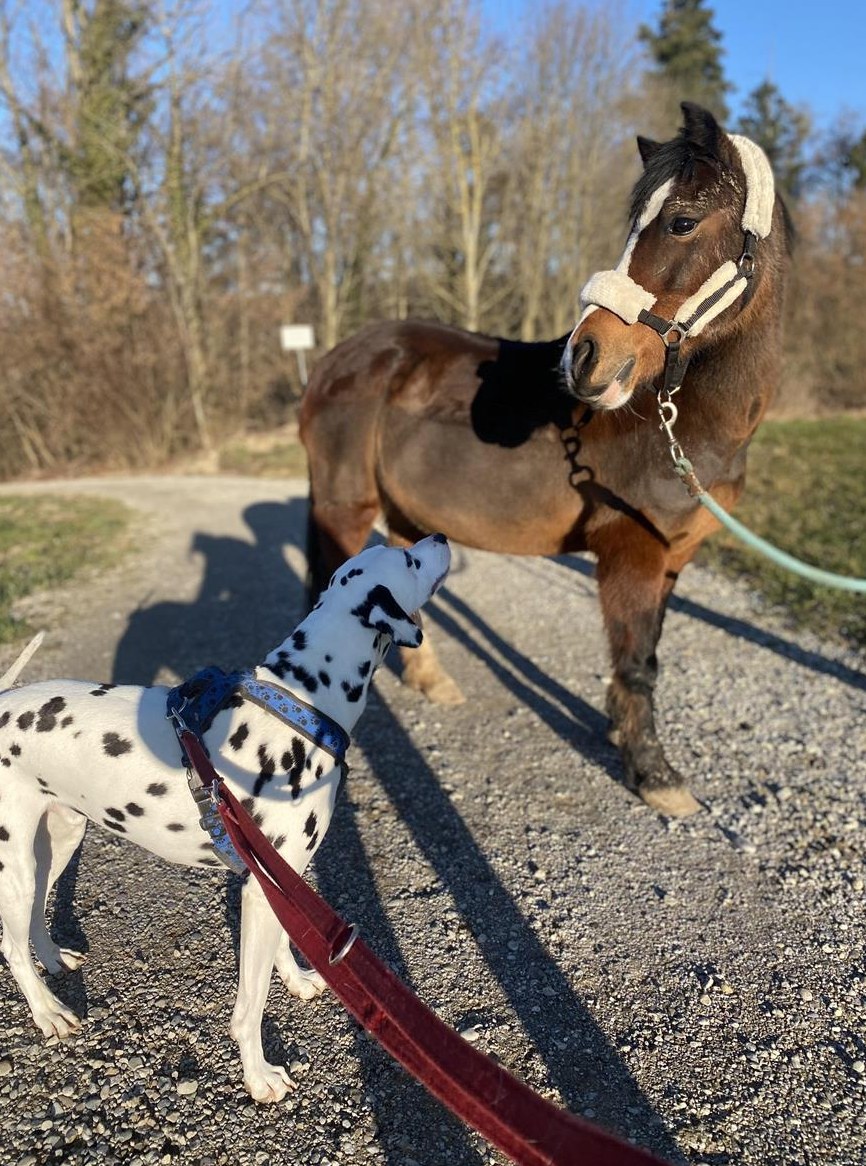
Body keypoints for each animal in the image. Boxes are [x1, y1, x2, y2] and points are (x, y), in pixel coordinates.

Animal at [299, 103, 792, 817]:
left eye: (681, 222)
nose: (584, 358)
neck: (686, 426)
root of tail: (335, 360)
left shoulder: (675, 556)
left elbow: (647, 654)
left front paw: (621, 732)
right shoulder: (632, 553)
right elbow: (637, 661)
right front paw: (655, 774)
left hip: (407, 514)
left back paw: (433, 681)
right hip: (345, 506)